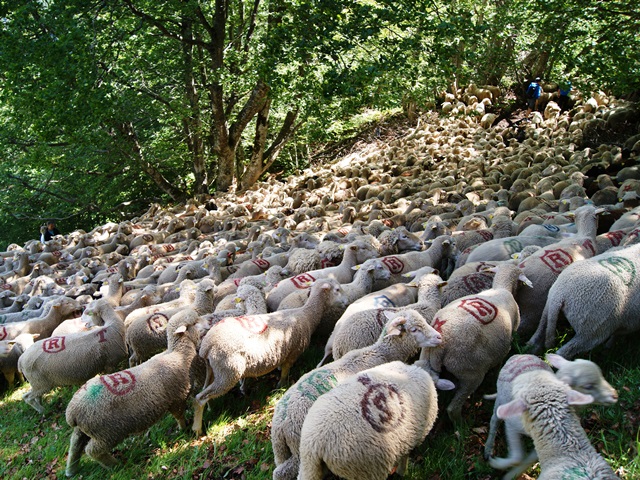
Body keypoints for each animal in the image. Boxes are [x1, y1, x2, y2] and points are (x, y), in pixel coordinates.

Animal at [64, 308, 206, 476]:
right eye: (194, 322)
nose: (208, 324)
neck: (179, 354)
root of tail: (72, 412)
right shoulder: (176, 398)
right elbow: (179, 416)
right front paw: (183, 429)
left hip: (85, 430)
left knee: (75, 445)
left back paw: (71, 469)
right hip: (106, 433)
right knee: (92, 451)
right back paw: (114, 465)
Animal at [298, 360, 448, 480]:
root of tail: (316, 443)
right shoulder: (414, 437)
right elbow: (405, 457)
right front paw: (402, 472)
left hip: (308, 465)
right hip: (366, 470)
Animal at [420, 262, 528, 424]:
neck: (502, 287)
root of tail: (441, 341)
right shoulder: (508, 342)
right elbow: (501, 360)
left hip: (427, 360)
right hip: (469, 371)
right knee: (453, 408)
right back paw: (461, 424)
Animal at [484, 350, 620, 478]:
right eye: (588, 386)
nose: (614, 395)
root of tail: (520, 355)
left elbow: (529, 458)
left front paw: (514, 473)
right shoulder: (512, 425)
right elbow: (518, 456)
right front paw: (501, 467)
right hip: (500, 400)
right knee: (494, 421)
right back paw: (488, 448)